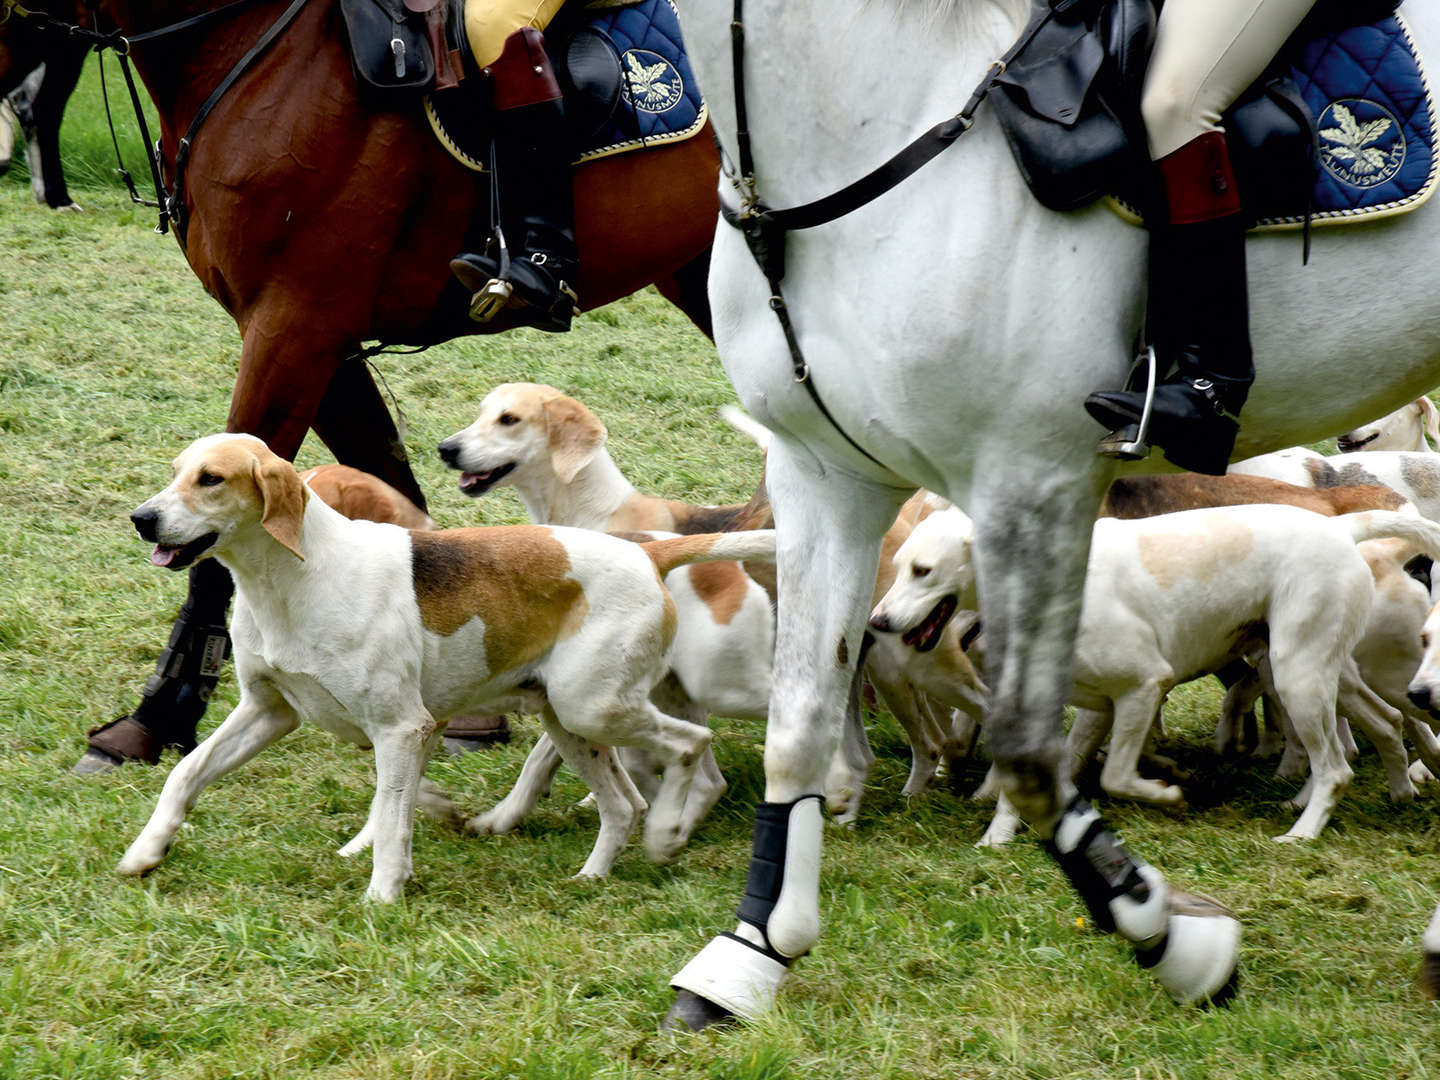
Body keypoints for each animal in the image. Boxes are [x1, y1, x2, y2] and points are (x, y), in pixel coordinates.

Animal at [14, 0, 720, 771]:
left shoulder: (294, 325)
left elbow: (214, 538)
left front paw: (160, 711)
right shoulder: (318, 343)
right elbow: (391, 488)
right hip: (700, 271)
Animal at [659, 0, 1440, 1031]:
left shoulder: (1032, 480)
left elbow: (1028, 751)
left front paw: (1171, 937)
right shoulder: (822, 474)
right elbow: (801, 721)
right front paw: (751, 953)